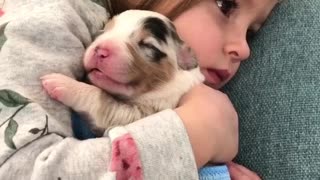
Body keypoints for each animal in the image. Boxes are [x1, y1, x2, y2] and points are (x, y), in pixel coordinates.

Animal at [41, 9, 204, 135]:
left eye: (149, 46)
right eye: (102, 32)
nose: (100, 51)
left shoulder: (143, 113)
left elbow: (100, 98)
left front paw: (64, 84)